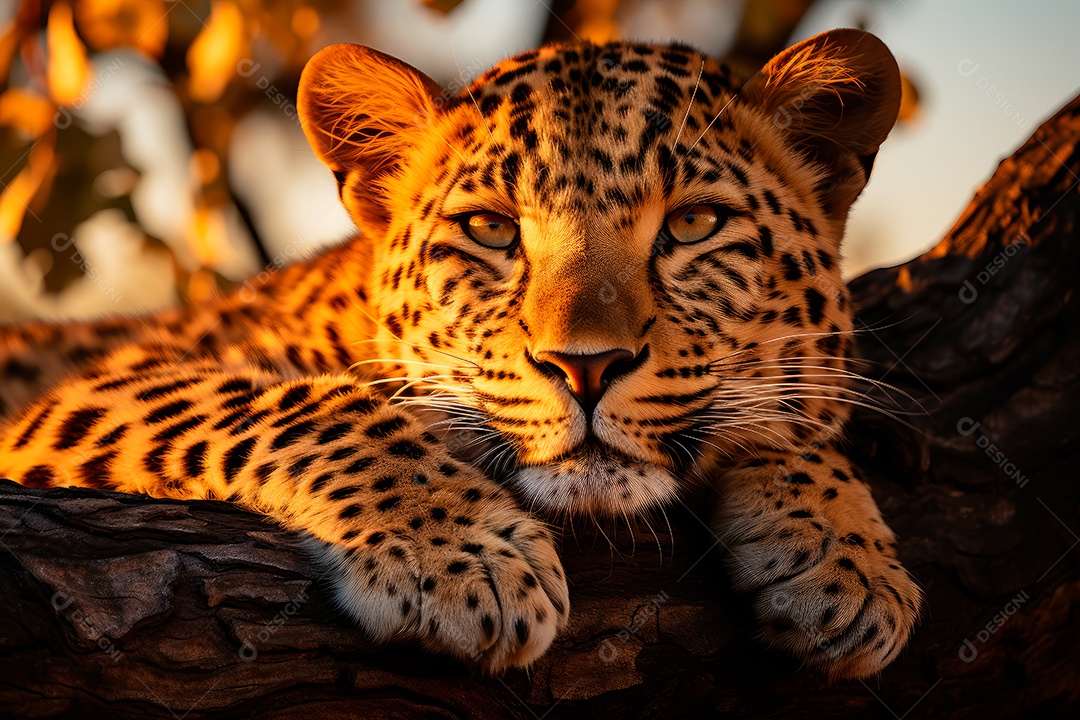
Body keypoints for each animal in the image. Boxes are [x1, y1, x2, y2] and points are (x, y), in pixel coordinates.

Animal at [0, 28, 921, 679]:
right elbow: (297, 401)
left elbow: (800, 412)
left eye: (693, 223)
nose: (586, 366)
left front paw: (849, 559)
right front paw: (464, 559)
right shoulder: (74, 404)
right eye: (490, 229)